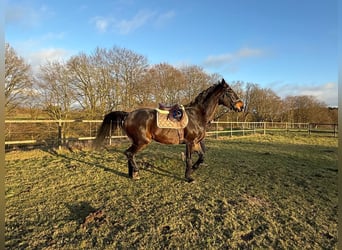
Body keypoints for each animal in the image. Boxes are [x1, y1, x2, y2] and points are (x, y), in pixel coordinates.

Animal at [93, 79, 243, 183]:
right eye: (230, 91)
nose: (241, 106)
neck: (197, 114)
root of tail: (128, 114)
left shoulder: (196, 143)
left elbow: (201, 157)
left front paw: (194, 169)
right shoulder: (189, 142)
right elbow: (189, 159)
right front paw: (188, 177)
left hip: (136, 142)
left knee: (130, 154)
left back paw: (133, 174)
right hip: (142, 142)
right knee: (129, 153)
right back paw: (136, 172)